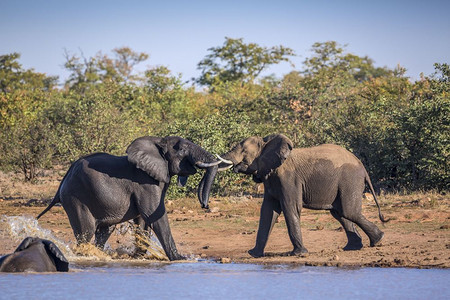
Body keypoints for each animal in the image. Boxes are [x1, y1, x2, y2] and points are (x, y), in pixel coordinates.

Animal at [37, 135, 225, 260]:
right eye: (182, 149)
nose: (205, 206)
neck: (157, 143)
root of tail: (62, 181)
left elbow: (143, 219)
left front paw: (138, 256)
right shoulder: (144, 182)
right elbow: (154, 215)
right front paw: (180, 259)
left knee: (104, 231)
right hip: (76, 198)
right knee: (86, 231)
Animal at [218, 134, 386, 258]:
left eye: (244, 151)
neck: (267, 143)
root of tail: (363, 167)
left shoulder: (289, 178)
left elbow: (290, 207)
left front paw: (298, 254)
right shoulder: (270, 177)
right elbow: (267, 211)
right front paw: (253, 254)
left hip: (349, 180)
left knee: (348, 211)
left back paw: (378, 240)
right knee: (340, 213)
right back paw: (355, 247)